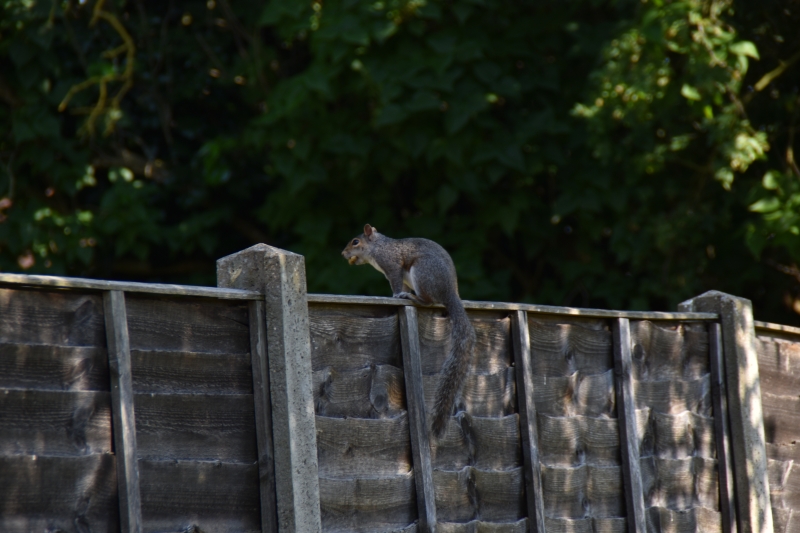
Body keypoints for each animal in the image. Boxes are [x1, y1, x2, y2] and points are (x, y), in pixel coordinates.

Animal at [340, 224, 476, 436]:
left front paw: (396, 295)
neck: (378, 247)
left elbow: (396, 283)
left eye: (355, 242)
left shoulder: (392, 265)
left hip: (422, 272)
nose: (343, 253)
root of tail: (450, 293)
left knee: (428, 300)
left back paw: (413, 297)